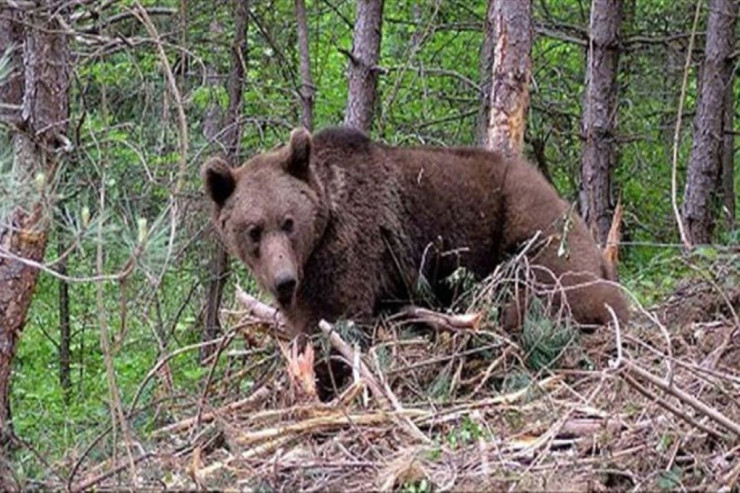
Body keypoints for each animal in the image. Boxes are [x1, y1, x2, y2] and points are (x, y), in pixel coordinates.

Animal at [202, 125, 632, 336]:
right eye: (253, 230)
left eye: (289, 222)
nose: (283, 281)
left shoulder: (353, 247)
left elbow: (337, 317)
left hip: (529, 223)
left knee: (557, 288)